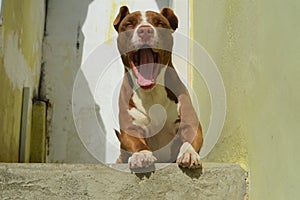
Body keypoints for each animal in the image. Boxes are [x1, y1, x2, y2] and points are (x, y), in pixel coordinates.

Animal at [113, 5, 204, 169]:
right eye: (129, 24)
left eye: (159, 23)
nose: (145, 30)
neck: (151, 92)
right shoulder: (130, 128)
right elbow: (136, 142)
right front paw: (142, 155)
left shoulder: (190, 123)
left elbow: (190, 138)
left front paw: (189, 153)